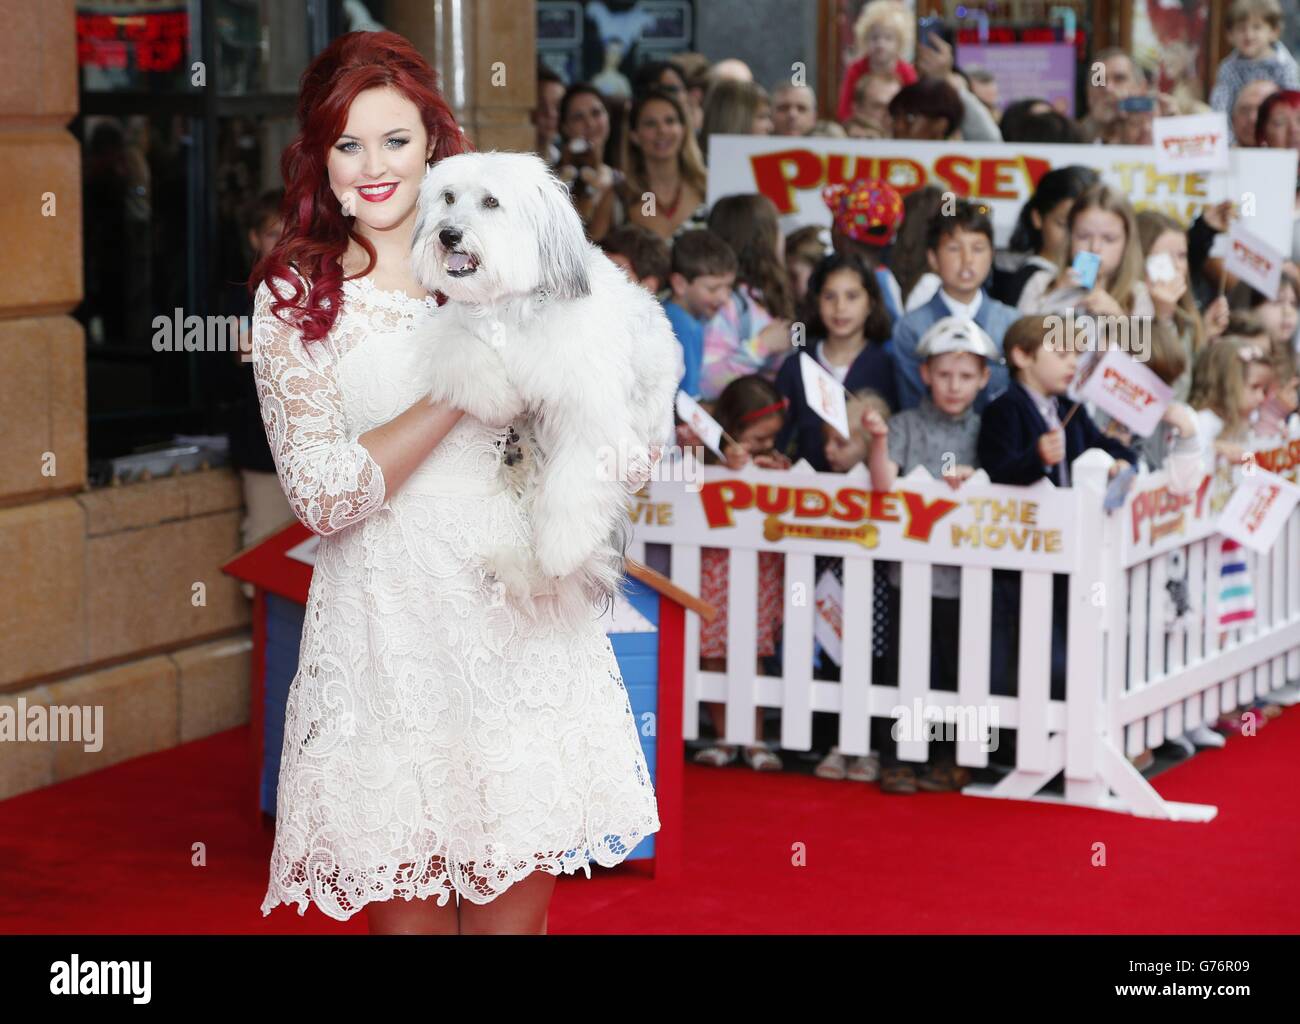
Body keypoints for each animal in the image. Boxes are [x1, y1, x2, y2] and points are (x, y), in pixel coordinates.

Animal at [413, 148, 681, 621]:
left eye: (491, 202)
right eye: (448, 197)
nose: (448, 235)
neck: (508, 307)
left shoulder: (590, 415)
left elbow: (573, 489)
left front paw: (562, 549)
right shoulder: (453, 330)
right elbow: (459, 351)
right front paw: (497, 396)